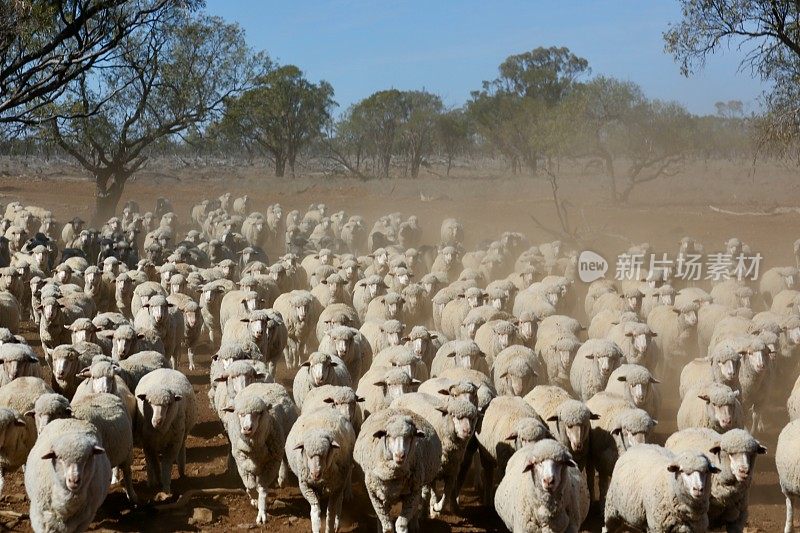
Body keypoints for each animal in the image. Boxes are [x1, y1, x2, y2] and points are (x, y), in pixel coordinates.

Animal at [223, 382, 298, 524]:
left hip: (282, 441)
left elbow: (262, 489)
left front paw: (262, 512)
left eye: (259, 413)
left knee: (284, 459)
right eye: (240, 414)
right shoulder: (242, 463)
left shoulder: (271, 463)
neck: (254, 448)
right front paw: (254, 500)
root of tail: (262, 383)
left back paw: (282, 479)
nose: (247, 428)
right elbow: (250, 485)